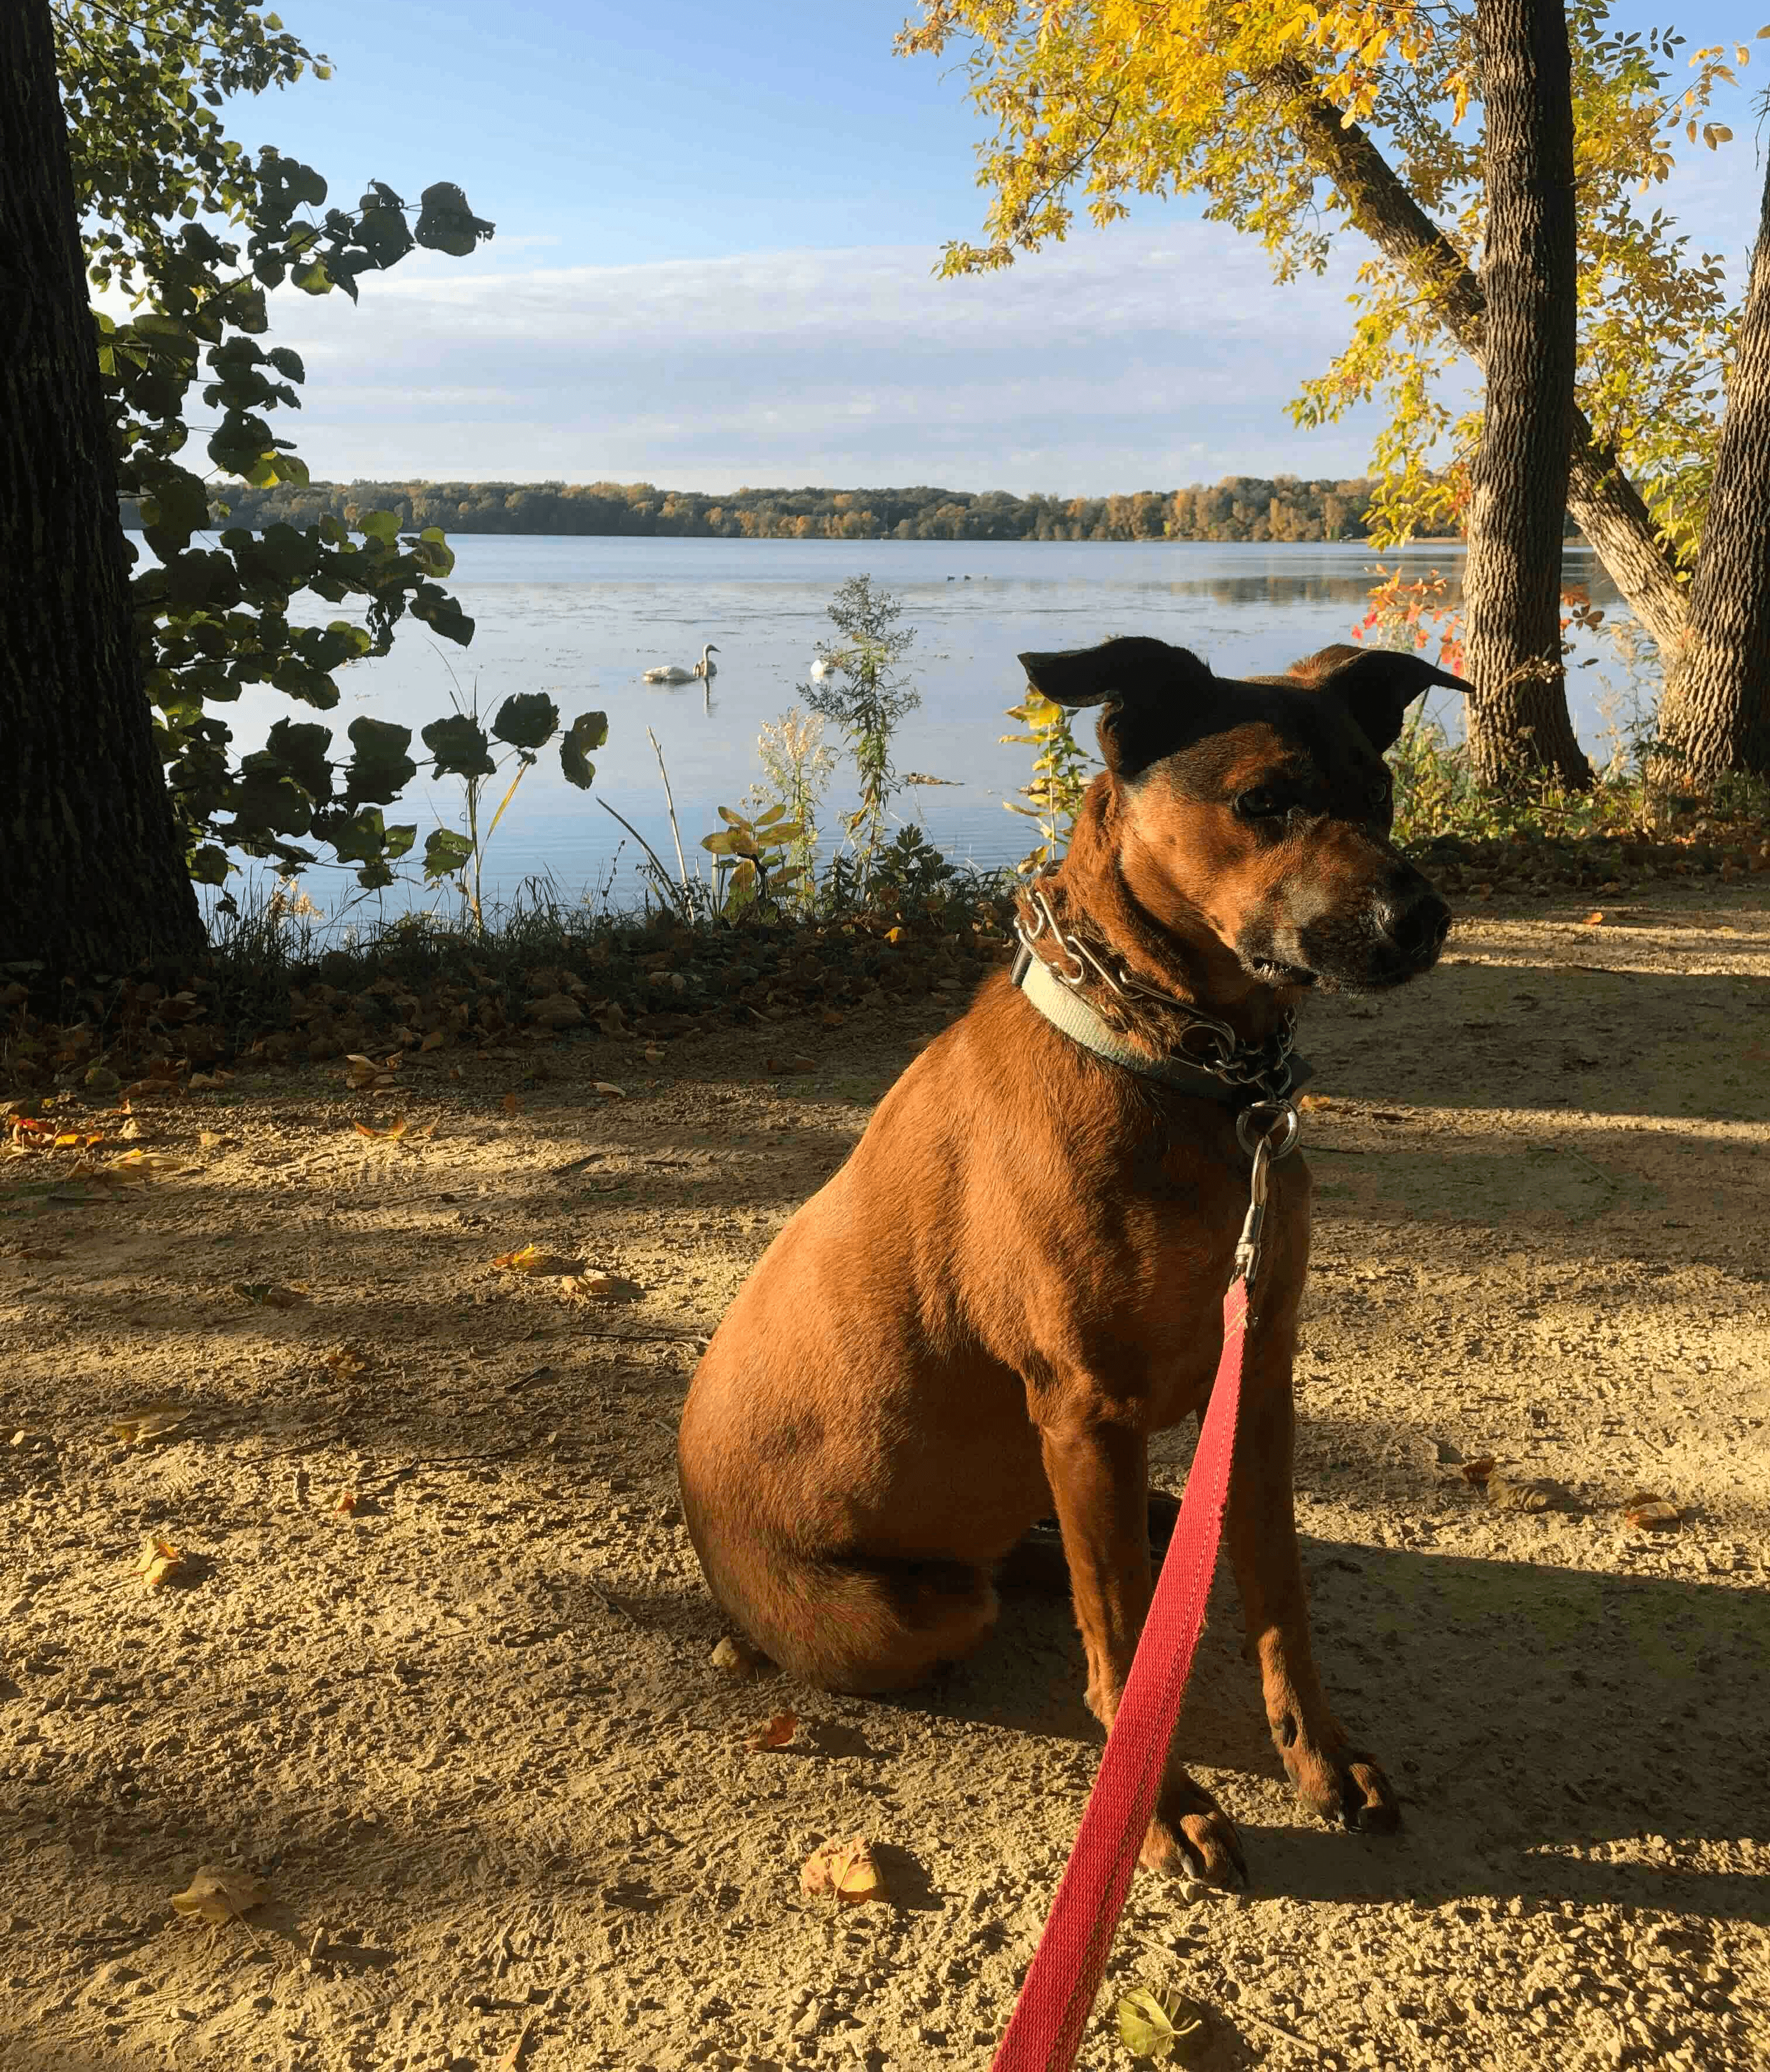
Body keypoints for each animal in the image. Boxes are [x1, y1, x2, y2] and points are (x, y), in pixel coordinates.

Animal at [680, 638, 1467, 1889]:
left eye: (1378, 789)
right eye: (1262, 799)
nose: (1423, 916)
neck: (1186, 1071)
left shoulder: (1260, 1375)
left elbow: (1277, 1595)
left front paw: (1319, 1753)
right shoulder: (1082, 1405)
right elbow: (1124, 1648)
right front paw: (1164, 1804)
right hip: (908, 1604)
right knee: (998, 1589)